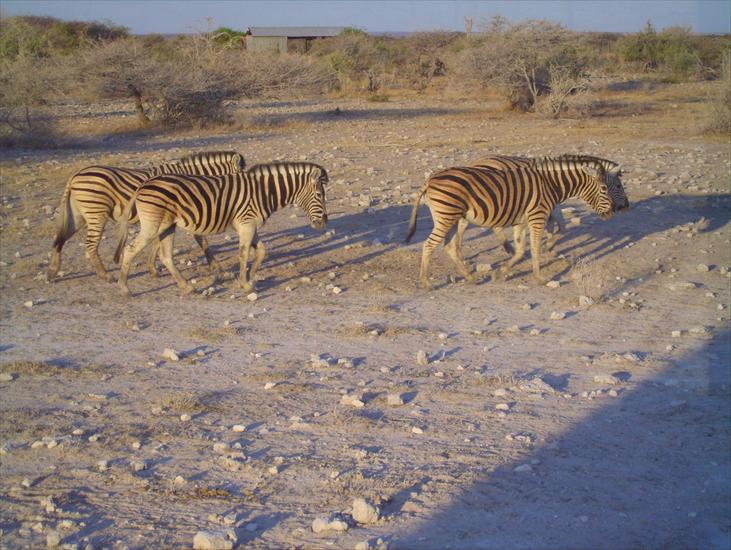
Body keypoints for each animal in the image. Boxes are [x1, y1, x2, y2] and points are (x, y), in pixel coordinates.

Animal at [46, 152, 246, 284]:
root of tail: (75, 174)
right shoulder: (186, 213)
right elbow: (201, 240)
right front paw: (217, 267)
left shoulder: (164, 216)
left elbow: (157, 242)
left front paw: (152, 269)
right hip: (96, 212)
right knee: (90, 244)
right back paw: (106, 276)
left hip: (79, 214)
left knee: (60, 239)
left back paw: (52, 272)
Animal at [114, 162, 328, 298]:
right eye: (319, 195)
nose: (324, 222)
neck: (264, 193)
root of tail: (144, 184)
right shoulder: (246, 224)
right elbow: (244, 254)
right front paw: (245, 284)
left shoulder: (250, 225)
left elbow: (260, 251)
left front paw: (251, 279)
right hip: (152, 225)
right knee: (130, 250)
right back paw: (124, 289)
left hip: (167, 225)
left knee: (166, 256)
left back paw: (186, 287)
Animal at [406, 157, 628, 292]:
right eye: (606, 188)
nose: (617, 210)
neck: (551, 185)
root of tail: (430, 179)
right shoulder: (537, 216)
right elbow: (535, 248)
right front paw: (540, 278)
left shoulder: (521, 221)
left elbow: (521, 250)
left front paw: (501, 272)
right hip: (447, 216)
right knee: (429, 244)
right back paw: (425, 282)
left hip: (451, 217)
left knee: (450, 246)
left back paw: (469, 277)